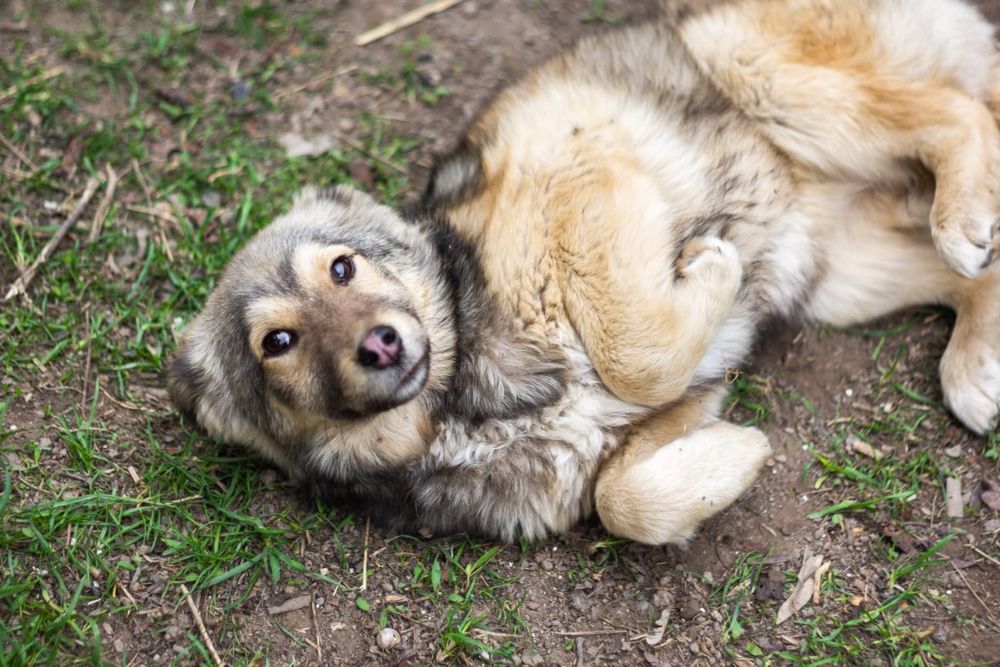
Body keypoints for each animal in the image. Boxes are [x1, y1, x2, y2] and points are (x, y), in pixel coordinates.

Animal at [168, 0, 1000, 544]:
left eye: (343, 267)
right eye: (278, 342)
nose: (380, 343)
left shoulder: (583, 179)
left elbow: (635, 351)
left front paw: (712, 265)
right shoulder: (658, 418)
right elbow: (622, 498)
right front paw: (734, 460)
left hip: (773, 82)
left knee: (958, 114)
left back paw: (962, 219)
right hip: (843, 275)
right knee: (969, 269)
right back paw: (973, 364)